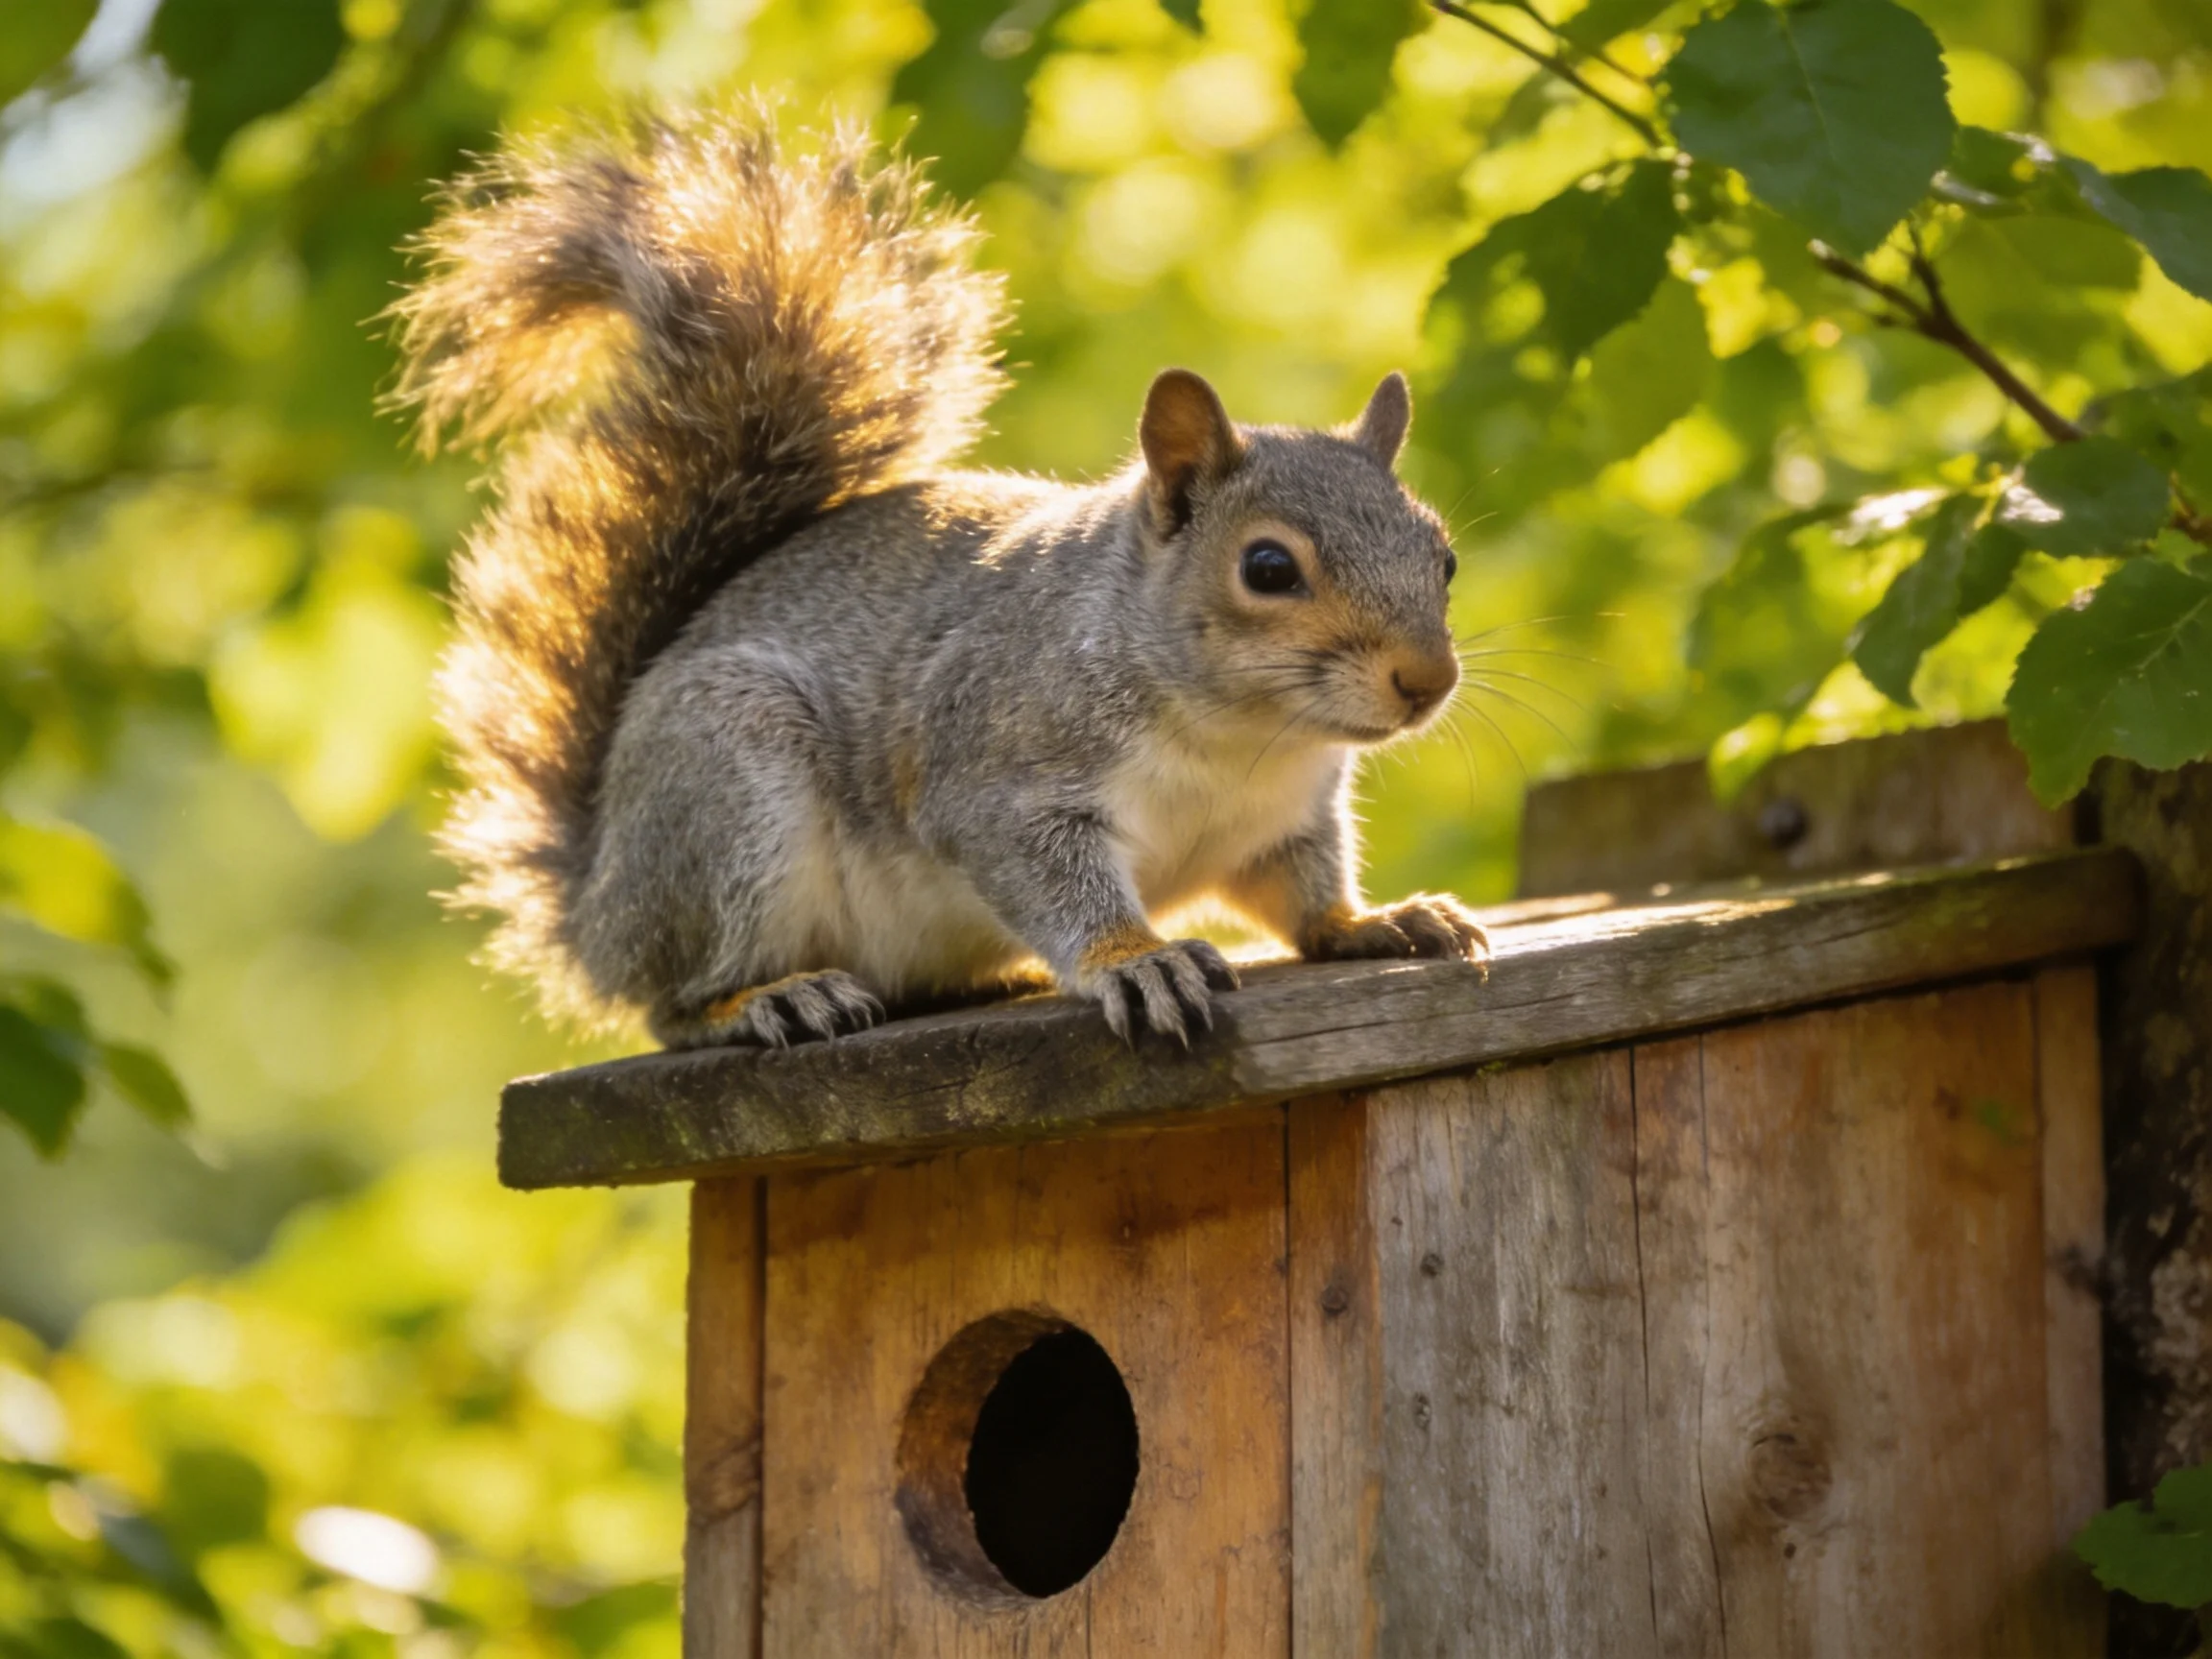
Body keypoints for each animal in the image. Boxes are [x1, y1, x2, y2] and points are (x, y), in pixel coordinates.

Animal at [392, 107, 1488, 1049]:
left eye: (1443, 556)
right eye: (1267, 567)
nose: (1427, 682)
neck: (1240, 742)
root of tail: (595, 903)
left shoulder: (1283, 822)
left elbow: (1302, 892)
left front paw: (1378, 919)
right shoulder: (999, 775)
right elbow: (1052, 879)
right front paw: (1136, 960)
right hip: (727, 794)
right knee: (676, 1000)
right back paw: (771, 999)